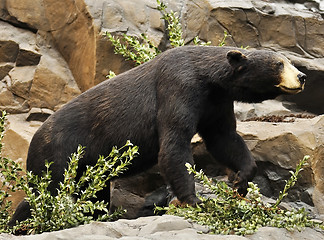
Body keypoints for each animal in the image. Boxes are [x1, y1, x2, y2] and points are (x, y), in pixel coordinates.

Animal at [9, 45, 304, 225]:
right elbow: (174, 144)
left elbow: (224, 138)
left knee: (94, 192)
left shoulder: (215, 102)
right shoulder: (177, 88)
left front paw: (241, 180)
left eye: (290, 61)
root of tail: (34, 138)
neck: (208, 79)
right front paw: (193, 200)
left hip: (88, 165)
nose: (302, 76)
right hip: (58, 151)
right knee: (46, 189)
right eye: (279, 64)